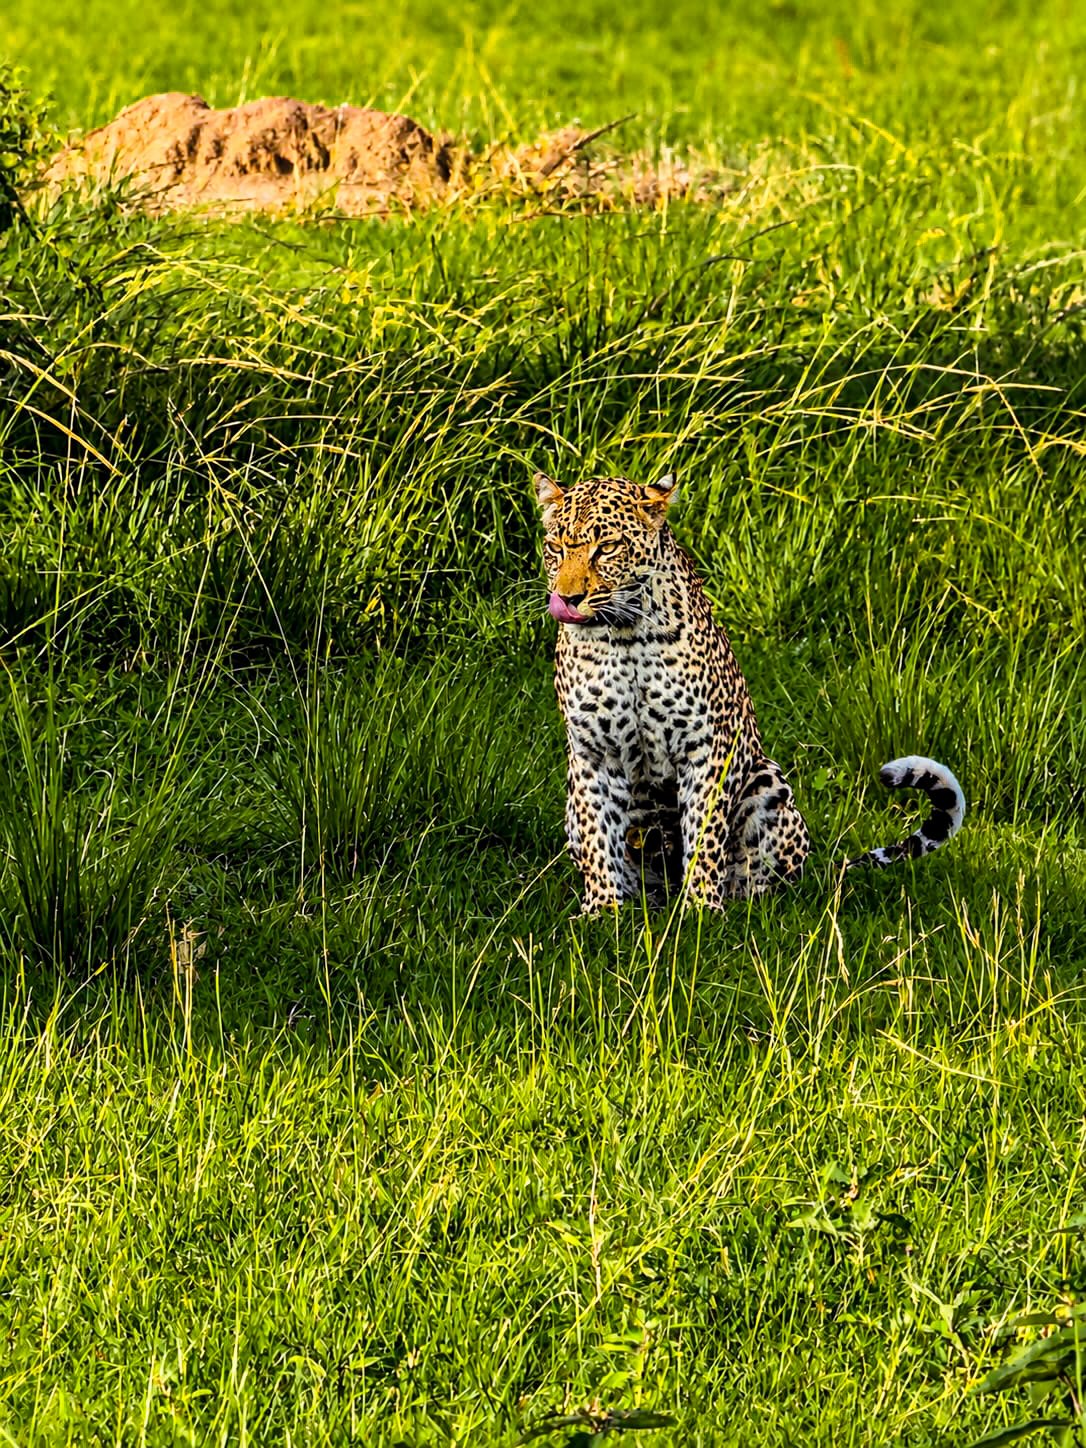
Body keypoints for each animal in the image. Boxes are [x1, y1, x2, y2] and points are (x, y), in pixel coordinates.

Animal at [534, 469, 965, 914]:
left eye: (607, 548)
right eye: (554, 549)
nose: (567, 598)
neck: (624, 637)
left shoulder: (705, 747)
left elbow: (704, 834)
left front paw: (701, 910)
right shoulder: (593, 753)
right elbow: (598, 835)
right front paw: (604, 910)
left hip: (769, 782)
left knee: (760, 884)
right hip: (573, 808)